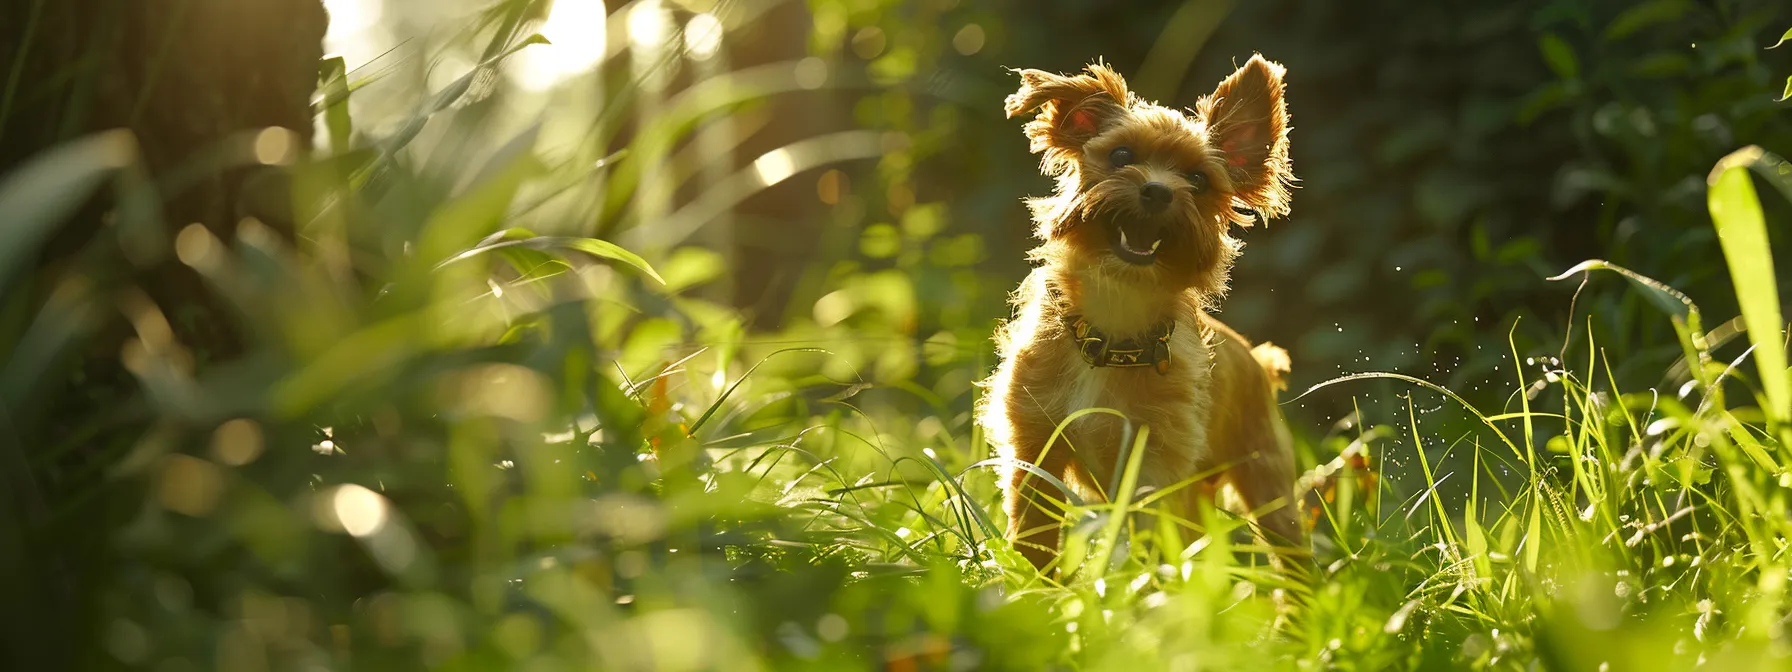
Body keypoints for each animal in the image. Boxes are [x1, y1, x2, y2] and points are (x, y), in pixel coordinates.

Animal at [982, 55, 1304, 577]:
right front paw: (1035, 589)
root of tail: (1258, 359)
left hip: (1267, 484)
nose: (1157, 192)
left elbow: (1152, 544)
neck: (1115, 324)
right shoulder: (1035, 447)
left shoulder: (1155, 467)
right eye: (1120, 155)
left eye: (1198, 181)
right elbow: (1034, 537)